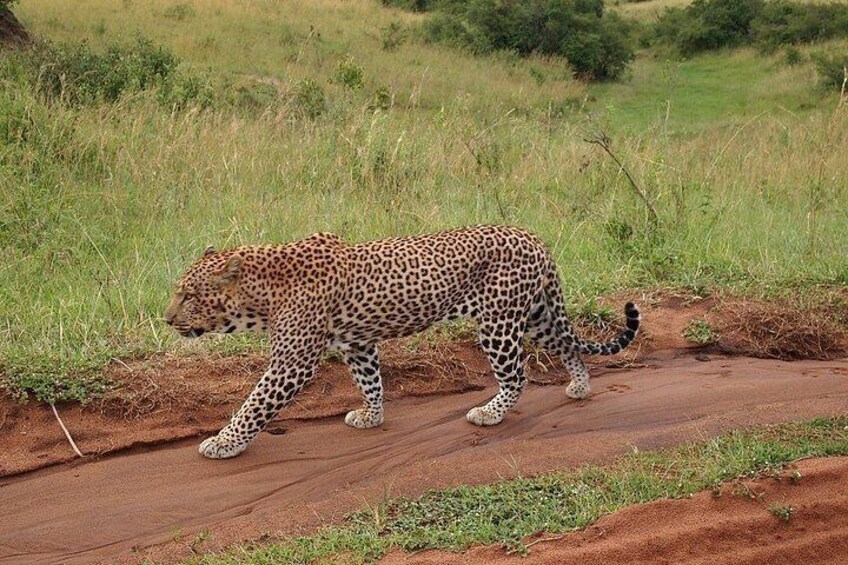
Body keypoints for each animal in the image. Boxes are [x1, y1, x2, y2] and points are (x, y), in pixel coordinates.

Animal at [164, 225, 640, 459]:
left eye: (188, 295)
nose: (166, 318)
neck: (261, 295)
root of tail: (534, 236)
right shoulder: (356, 343)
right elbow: (371, 381)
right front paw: (372, 417)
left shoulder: (292, 361)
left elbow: (254, 404)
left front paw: (224, 442)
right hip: (535, 314)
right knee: (568, 345)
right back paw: (579, 386)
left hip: (499, 322)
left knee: (517, 376)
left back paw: (490, 413)